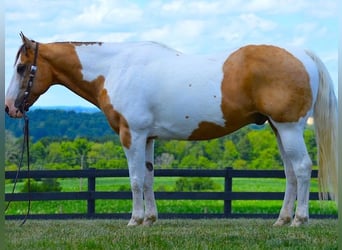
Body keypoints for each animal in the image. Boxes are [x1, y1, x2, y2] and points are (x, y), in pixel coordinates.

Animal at [4, 32, 336, 227]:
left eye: (21, 68)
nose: (10, 108)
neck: (115, 69)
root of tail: (303, 54)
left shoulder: (132, 135)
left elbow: (136, 180)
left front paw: (135, 221)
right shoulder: (148, 137)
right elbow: (149, 178)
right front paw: (150, 219)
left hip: (289, 128)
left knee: (302, 168)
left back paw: (299, 220)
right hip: (278, 129)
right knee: (290, 172)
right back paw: (282, 220)